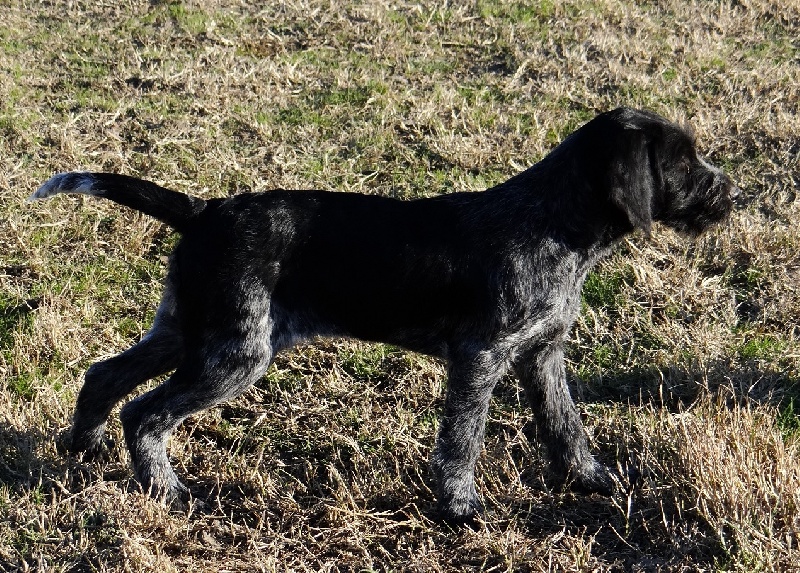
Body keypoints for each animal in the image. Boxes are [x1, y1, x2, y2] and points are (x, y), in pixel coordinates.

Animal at [31, 105, 736, 520]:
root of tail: (206, 211)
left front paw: (591, 480)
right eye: (682, 163)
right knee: (145, 412)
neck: (556, 224)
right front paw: (459, 509)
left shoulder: (543, 353)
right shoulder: (480, 357)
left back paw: (82, 452)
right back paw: (169, 493)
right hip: (233, 352)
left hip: (187, 330)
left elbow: (566, 425)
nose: (735, 193)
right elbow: (462, 441)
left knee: (104, 376)